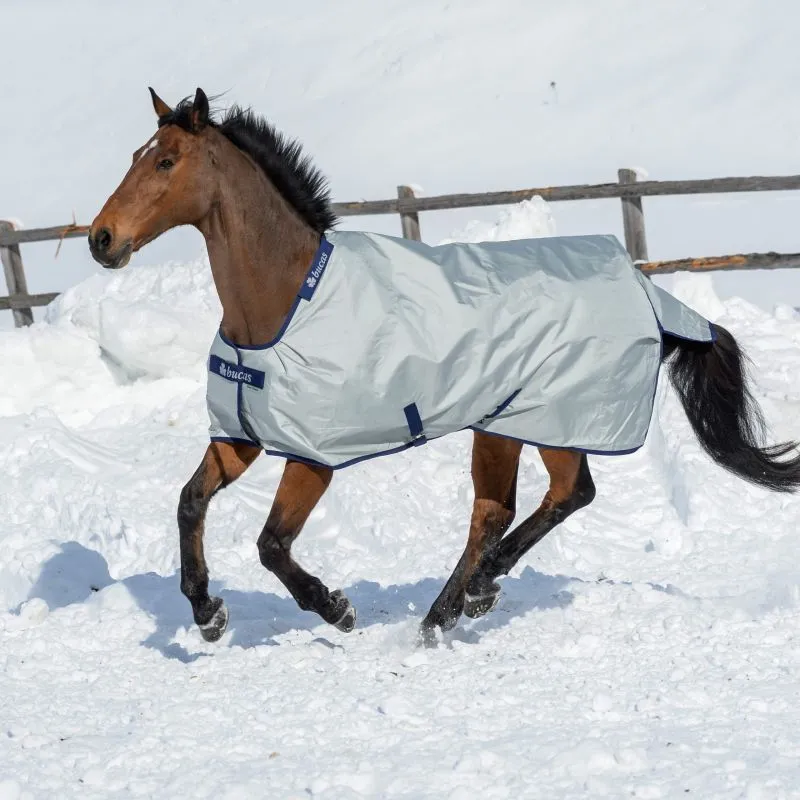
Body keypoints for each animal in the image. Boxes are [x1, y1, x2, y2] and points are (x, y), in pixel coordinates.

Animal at [89, 88, 800, 646]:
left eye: (166, 160)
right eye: (133, 157)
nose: (101, 240)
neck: (284, 303)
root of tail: (647, 290)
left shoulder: (314, 456)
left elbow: (271, 544)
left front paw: (337, 609)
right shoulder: (242, 436)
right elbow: (190, 502)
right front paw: (207, 612)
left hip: (540, 419)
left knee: (553, 498)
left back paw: (469, 595)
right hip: (508, 424)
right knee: (509, 507)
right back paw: (450, 610)